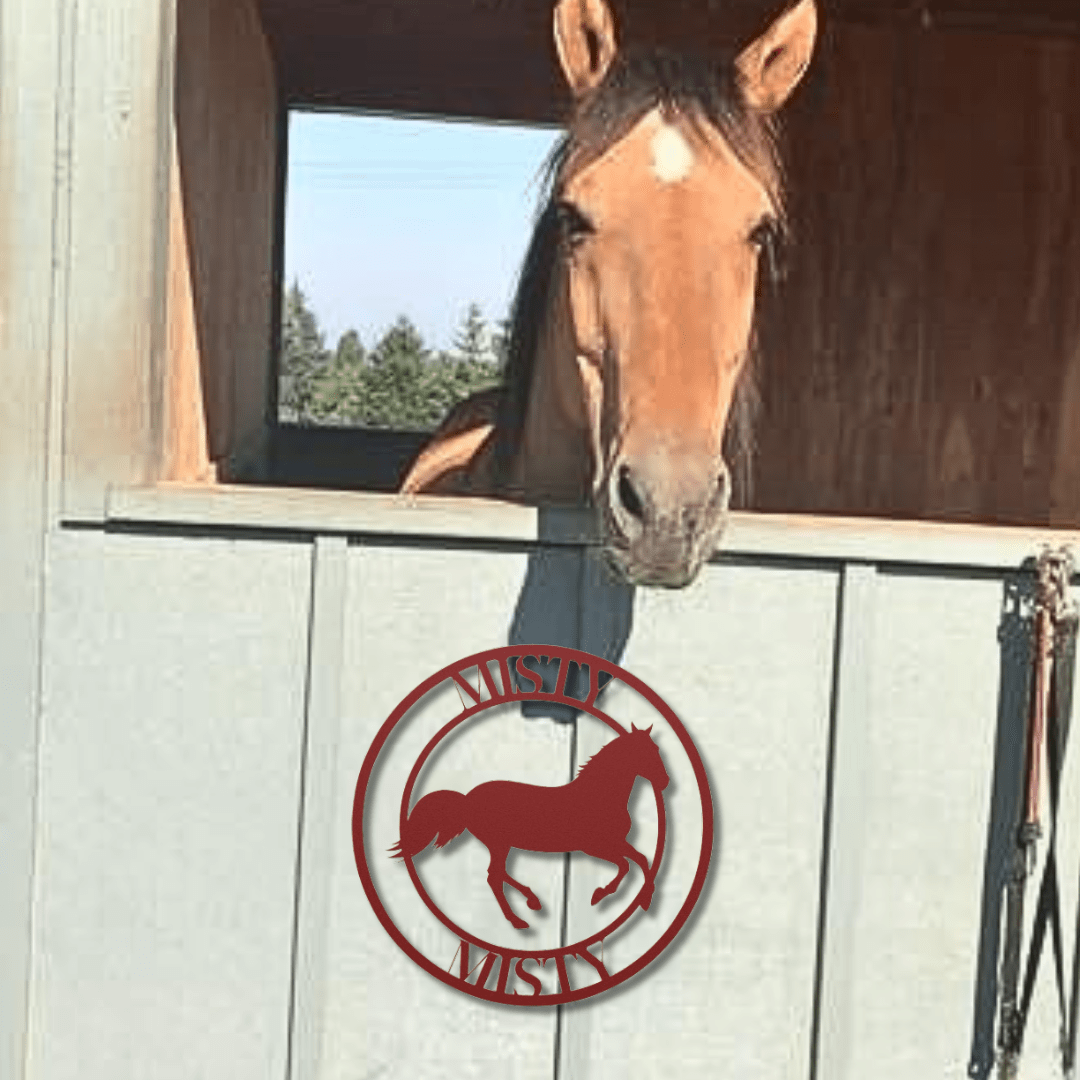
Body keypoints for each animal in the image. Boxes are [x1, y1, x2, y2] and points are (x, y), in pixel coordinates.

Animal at [393, 725, 669, 928]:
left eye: (656, 748)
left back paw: (531, 903)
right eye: (647, 751)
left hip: (501, 844)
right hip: (499, 843)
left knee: (497, 874)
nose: (665, 782)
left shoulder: (615, 843)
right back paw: (520, 917)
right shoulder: (593, 847)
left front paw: (645, 901)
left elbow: (640, 859)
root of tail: (466, 799)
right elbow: (626, 865)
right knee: (494, 876)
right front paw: (599, 895)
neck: (599, 796)